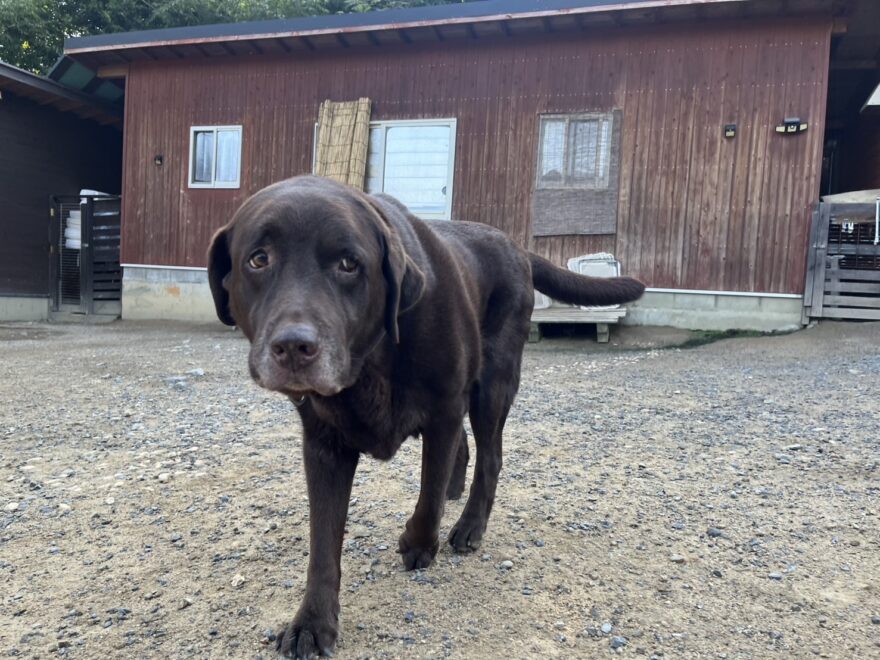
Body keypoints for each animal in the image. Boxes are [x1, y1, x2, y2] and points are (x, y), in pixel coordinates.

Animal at [207, 175, 644, 658]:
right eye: (258, 259)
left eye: (349, 263)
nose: (293, 347)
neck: (370, 360)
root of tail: (512, 244)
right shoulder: (323, 443)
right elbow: (323, 540)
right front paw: (313, 621)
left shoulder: (444, 409)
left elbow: (428, 493)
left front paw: (419, 543)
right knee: (466, 451)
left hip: (492, 381)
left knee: (490, 456)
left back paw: (469, 526)